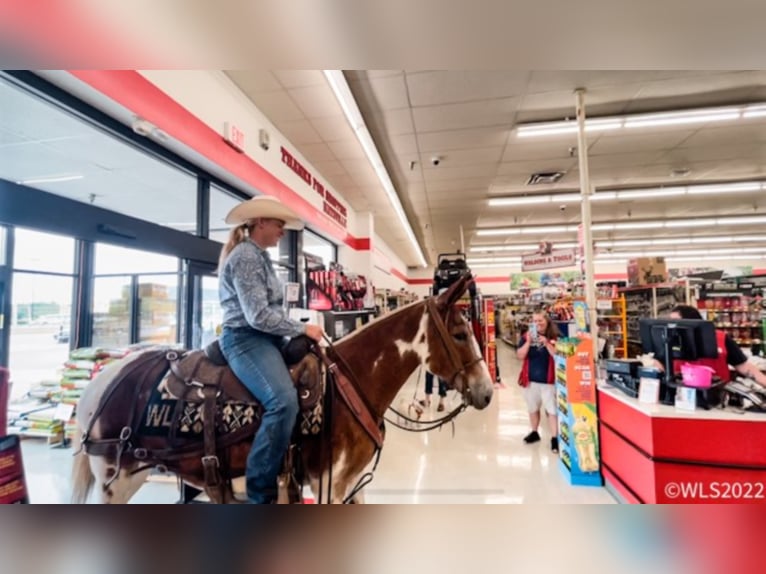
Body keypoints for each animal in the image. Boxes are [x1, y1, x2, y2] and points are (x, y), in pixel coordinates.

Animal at [70, 274, 492, 504]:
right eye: (459, 333)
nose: (487, 392)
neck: (351, 383)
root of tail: (104, 379)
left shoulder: (351, 485)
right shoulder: (328, 485)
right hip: (116, 480)